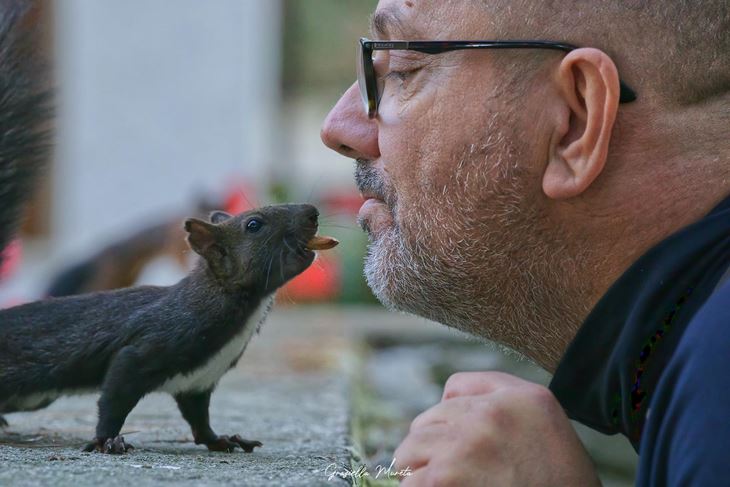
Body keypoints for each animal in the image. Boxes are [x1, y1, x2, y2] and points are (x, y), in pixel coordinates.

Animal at [0, 205, 338, 454]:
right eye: (254, 224)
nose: (312, 211)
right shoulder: (145, 348)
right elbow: (114, 400)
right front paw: (107, 441)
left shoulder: (199, 380)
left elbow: (199, 418)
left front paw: (221, 440)